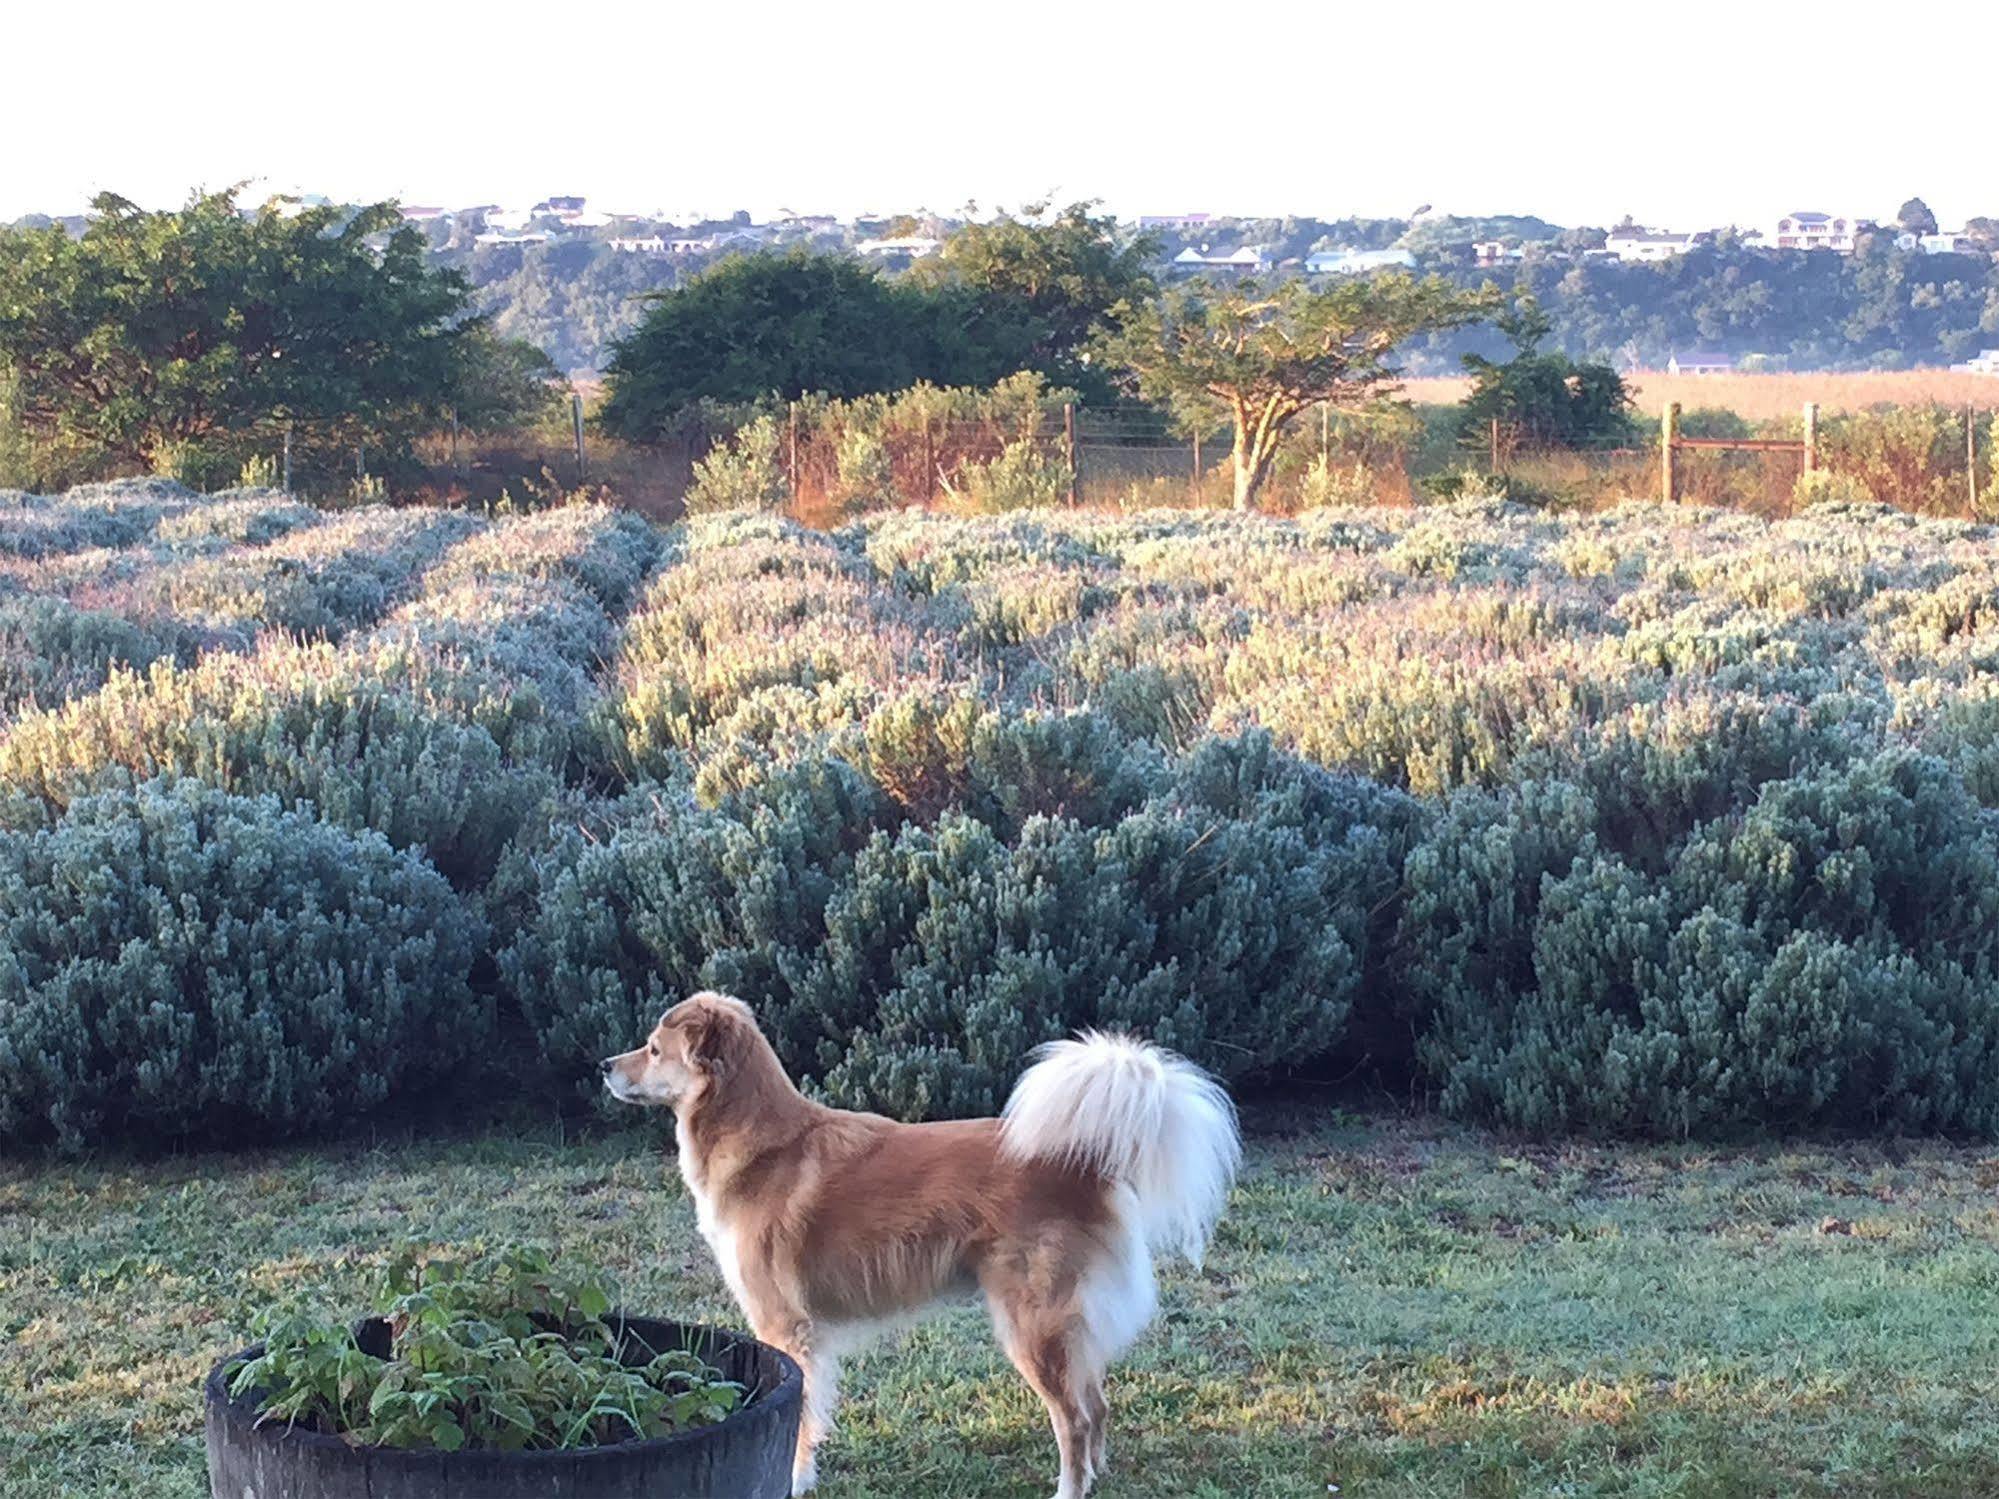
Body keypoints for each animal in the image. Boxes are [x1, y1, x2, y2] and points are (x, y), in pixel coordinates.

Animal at [599, 991, 1239, 1495]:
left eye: (653, 1050)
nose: (604, 1065)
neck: (763, 1145)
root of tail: (1082, 1158)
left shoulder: (786, 1328)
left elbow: (798, 1420)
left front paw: (793, 1480)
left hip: (1032, 1327)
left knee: (1075, 1420)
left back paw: (1069, 1488)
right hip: (1066, 1327)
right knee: (1098, 1402)